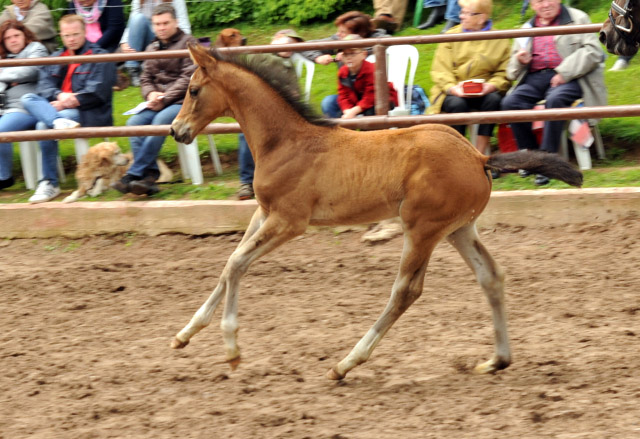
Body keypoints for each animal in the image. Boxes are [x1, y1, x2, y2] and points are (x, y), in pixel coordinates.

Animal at [168, 45, 584, 382]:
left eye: (193, 90)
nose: (176, 130)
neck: (286, 142)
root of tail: (479, 156)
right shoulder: (263, 213)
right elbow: (230, 264)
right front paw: (184, 334)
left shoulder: (288, 221)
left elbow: (236, 263)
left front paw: (232, 350)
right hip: (459, 228)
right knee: (491, 277)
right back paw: (497, 360)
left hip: (421, 229)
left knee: (406, 291)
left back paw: (346, 363)